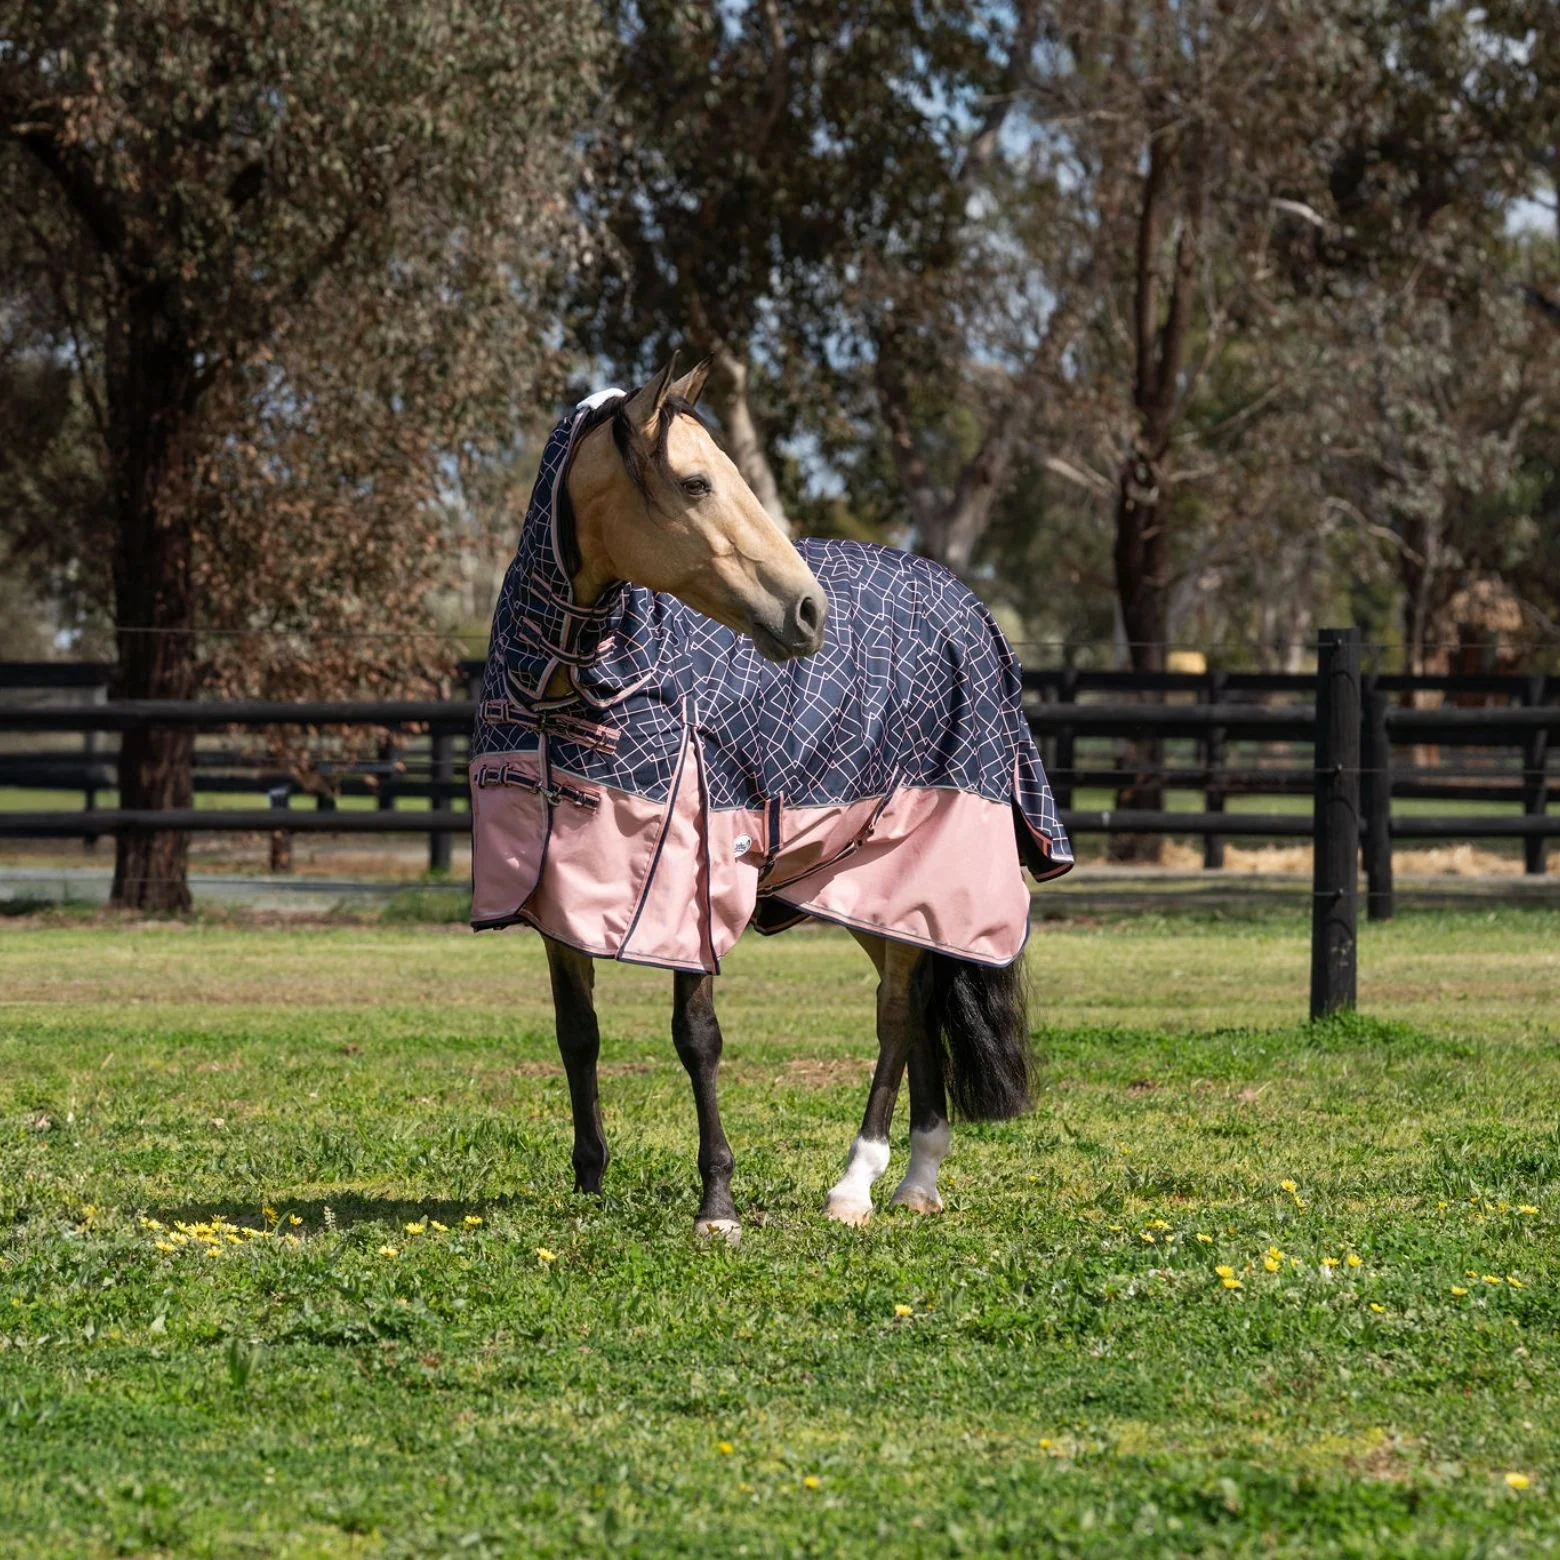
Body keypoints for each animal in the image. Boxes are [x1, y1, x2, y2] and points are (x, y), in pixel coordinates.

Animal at [469, 359, 1072, 1240]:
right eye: (695, 483)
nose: (807, 609)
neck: (570, 690)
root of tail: (963, 607)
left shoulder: (689, 888)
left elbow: (697, 1037)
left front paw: (716, 1206)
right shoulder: (560, 892)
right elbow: (577, 1034)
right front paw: (588, 1186)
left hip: (918, 859)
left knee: (898, 1013)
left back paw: (857, 1184)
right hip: (863, 887)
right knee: (919, 1004)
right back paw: (917, 1179)